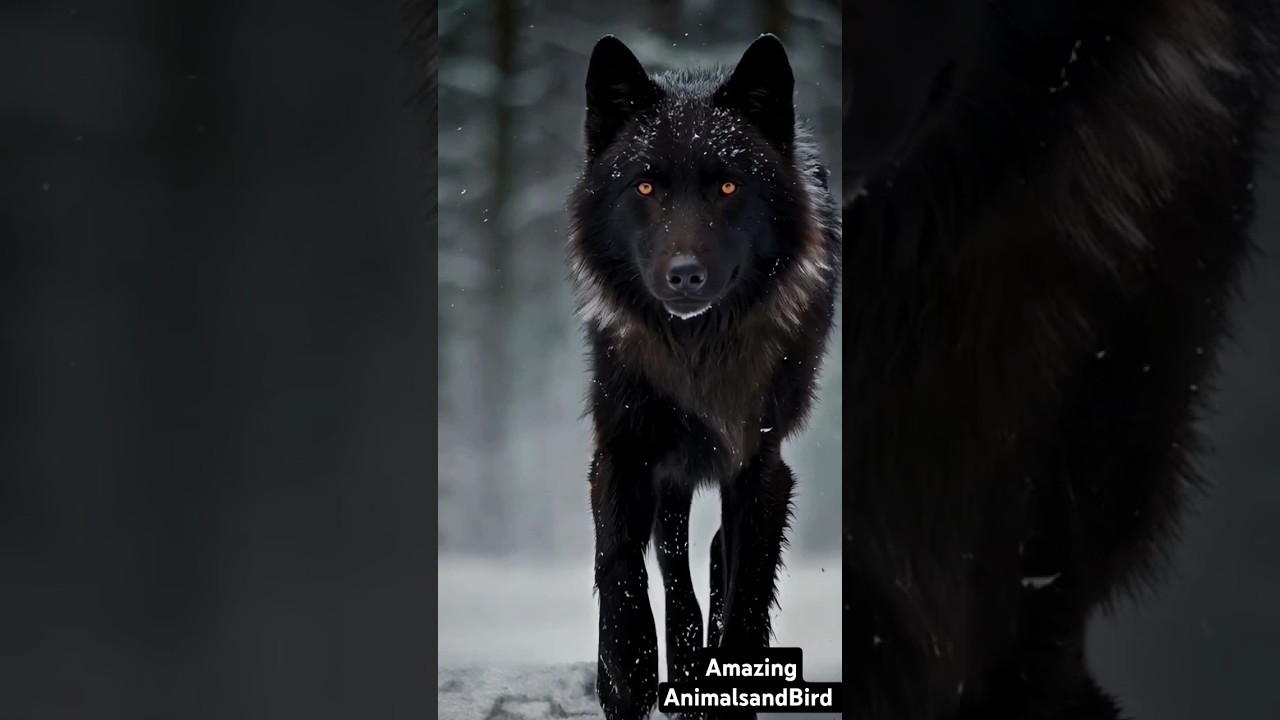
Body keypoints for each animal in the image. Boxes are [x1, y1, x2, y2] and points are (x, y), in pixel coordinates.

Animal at [566, 35, 842, 720]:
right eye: (643, 186)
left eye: (727, 186)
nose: (685, 273)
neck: (696, 351)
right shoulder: (624, 452)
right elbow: (623, 571)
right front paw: (628, 677)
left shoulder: (760, 465)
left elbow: (744, 594)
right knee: (673, 561)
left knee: (715, 555)